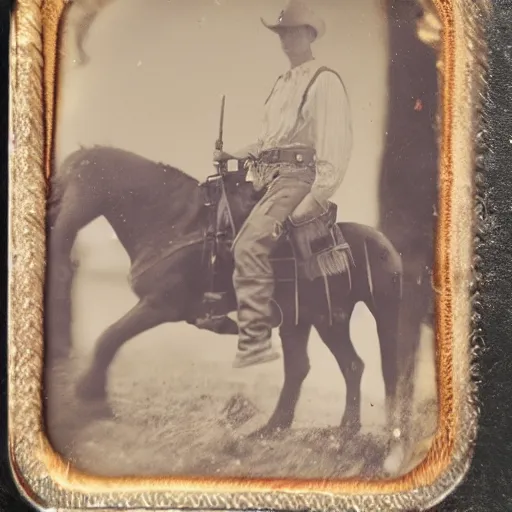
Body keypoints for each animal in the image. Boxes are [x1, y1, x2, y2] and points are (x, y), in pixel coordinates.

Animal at [44, 144, 408, 460]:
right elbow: (111, 337)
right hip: (303, 320)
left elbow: (110, 337)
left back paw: (337, 433)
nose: (57, 233)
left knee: (344, 366)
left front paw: (91, 397)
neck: (173, 223)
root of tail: (379, 244)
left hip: (327, 318)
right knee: (316, 368)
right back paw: (281, 431)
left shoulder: (160, 306)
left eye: (78, 181)